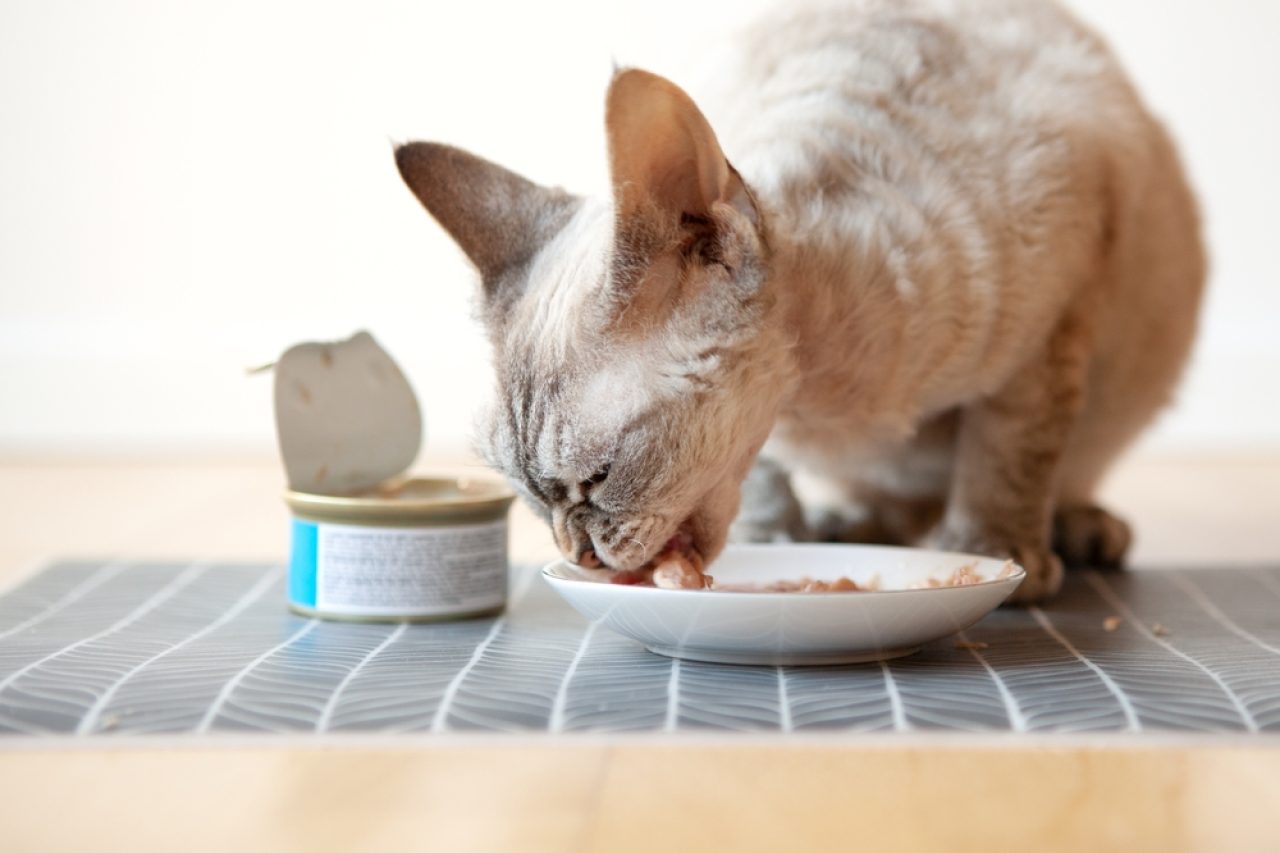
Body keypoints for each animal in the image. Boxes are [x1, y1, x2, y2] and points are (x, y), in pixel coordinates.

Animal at [394, 0, 1203, 601]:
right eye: (532, 497)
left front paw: (997, 555)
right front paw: (777, 540)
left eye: (596, 479)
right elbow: (766, 484)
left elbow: (1008, 458)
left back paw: (1074, 533)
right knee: (888, 509)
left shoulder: (1048, 338)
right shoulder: (777, 441)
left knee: (1059, 472)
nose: (579, 552)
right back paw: (846, 521)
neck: (822, 401)